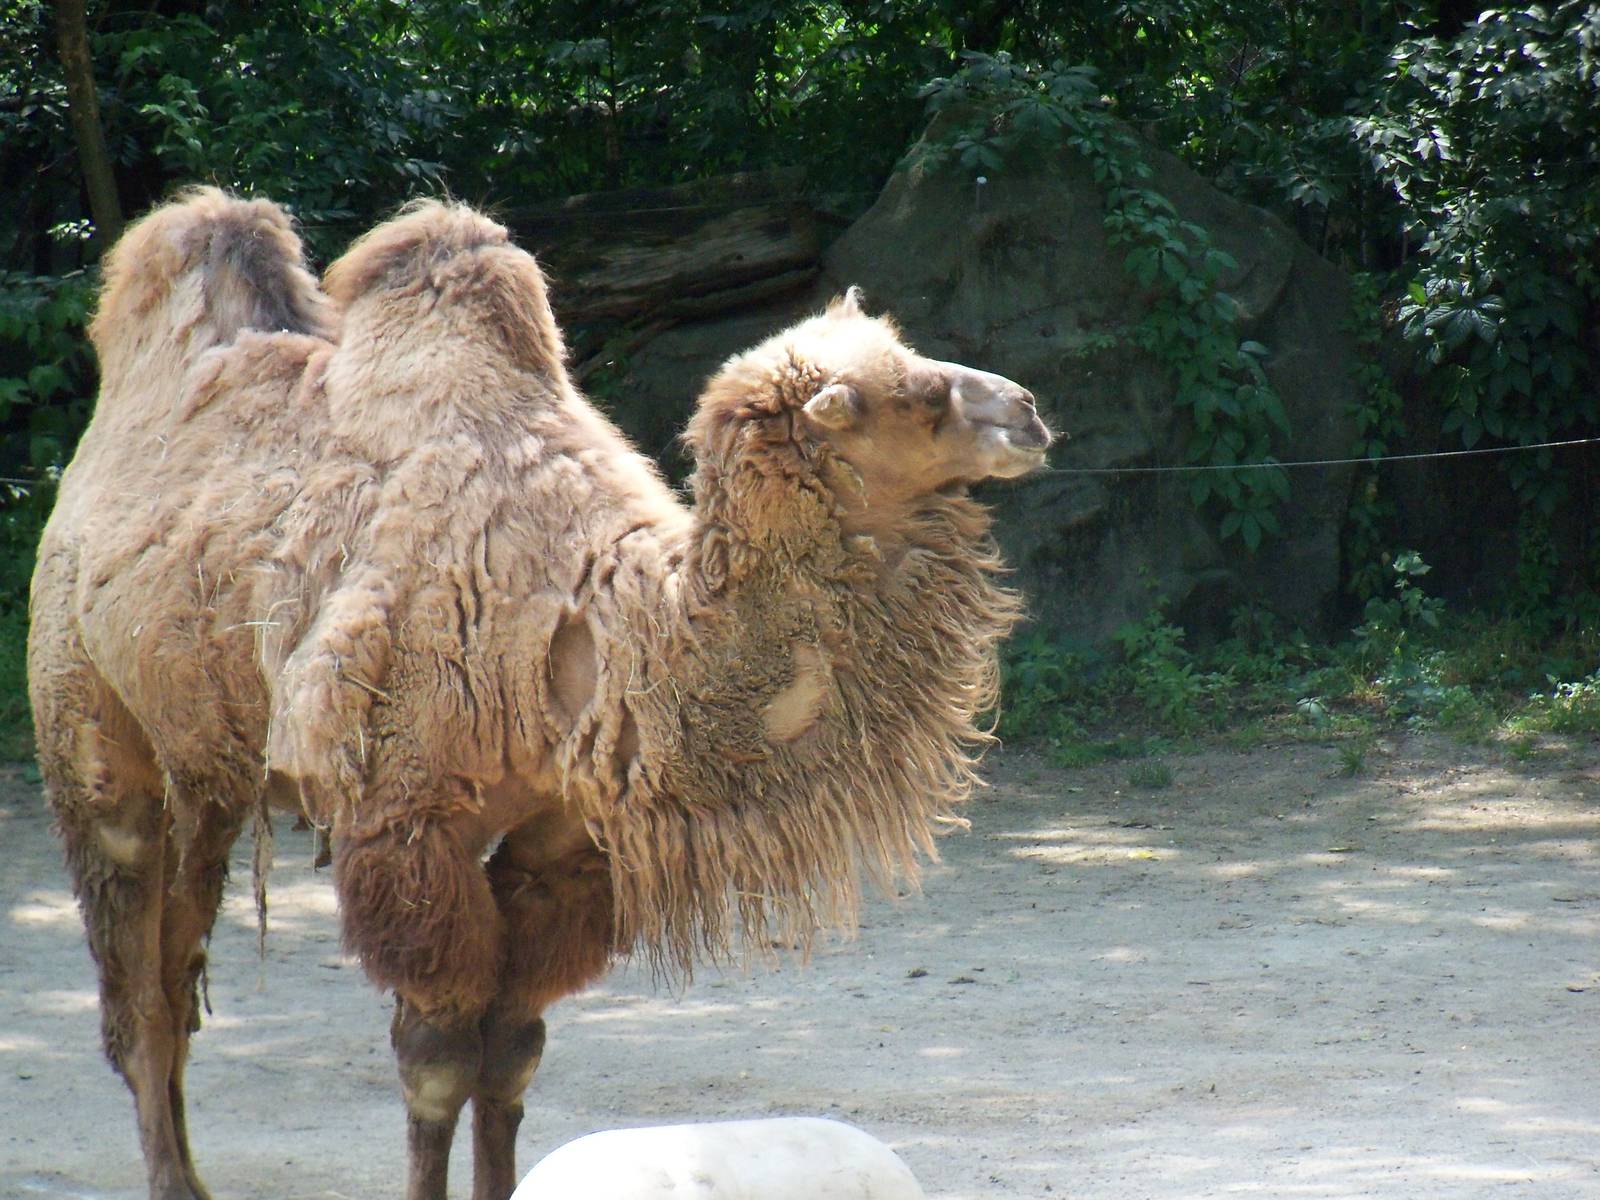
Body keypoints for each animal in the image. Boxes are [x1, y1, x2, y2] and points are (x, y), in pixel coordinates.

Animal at [28, 188, 1052, 1200]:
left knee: (175, 964)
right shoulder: (409, 822)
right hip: (86, 716)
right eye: (915, 396)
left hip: (209, 762)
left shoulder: (560, 839)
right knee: (135, 976)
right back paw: (170, 1176)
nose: (1030, 411)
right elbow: (438, 1060)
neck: (606, 638)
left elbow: (512, 1051)